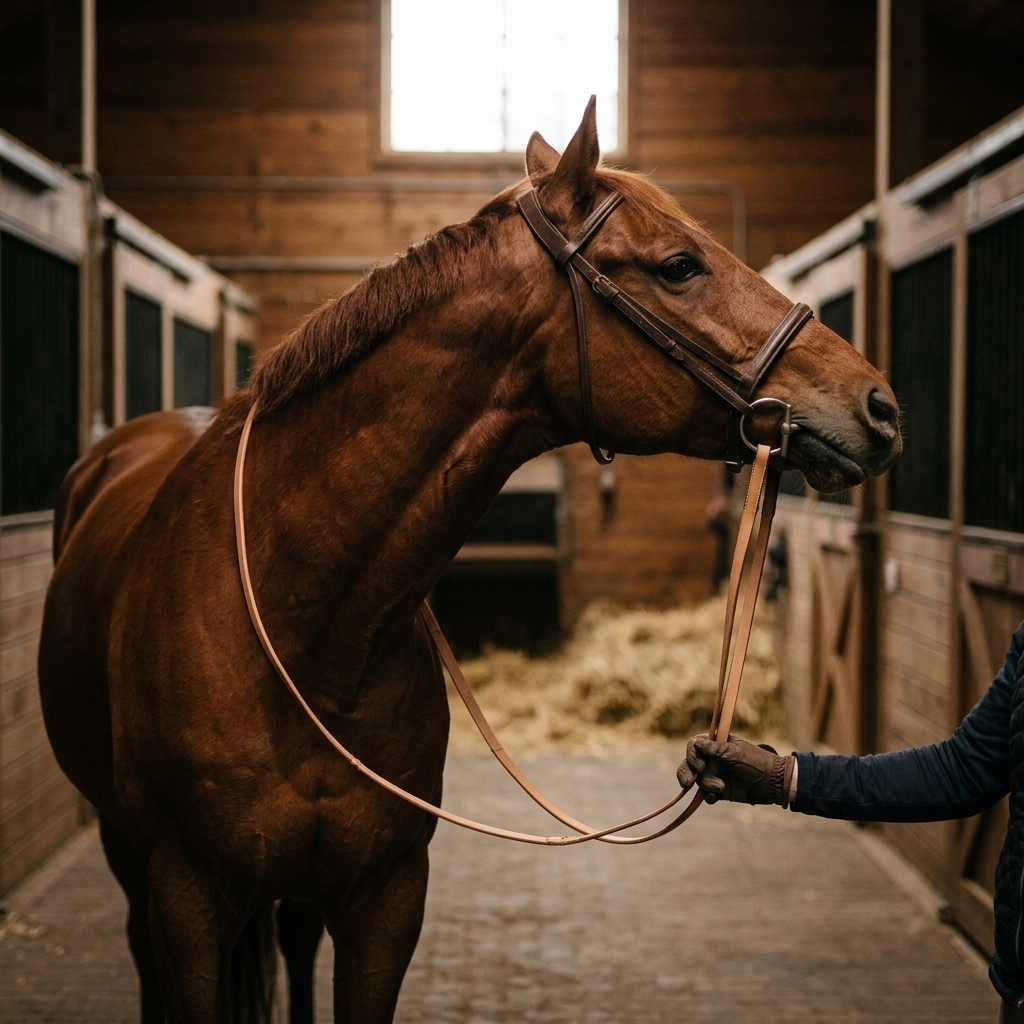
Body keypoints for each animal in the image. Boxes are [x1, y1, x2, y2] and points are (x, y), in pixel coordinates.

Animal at [38, 100, 901, 1023]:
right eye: (678, 265)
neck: (301, 624)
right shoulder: (189, 900)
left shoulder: (385, 898)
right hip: (132, 860)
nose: (878, 405)